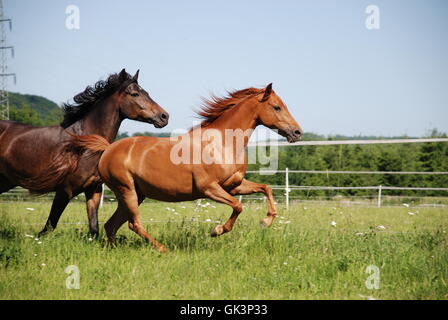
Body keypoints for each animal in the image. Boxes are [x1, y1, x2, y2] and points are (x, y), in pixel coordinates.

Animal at [0, 69, 168, 236]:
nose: (164, 116)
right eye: (135, 94)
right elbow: (49, 226)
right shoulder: (65, 190)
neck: (84, 145)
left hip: (6, 181)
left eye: (146, 92)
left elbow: (94, 229)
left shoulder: (93, 190)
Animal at [72, 83, 302, 252]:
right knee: (133, 223)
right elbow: (238, 206)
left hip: (135, 194)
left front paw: (266, 222)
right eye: (277, 107)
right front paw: (217, 230)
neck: (222, 143)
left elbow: (266, 188)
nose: (297, 132)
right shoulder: (209, 188)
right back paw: (162, 249)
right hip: (126, 190)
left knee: (112, 225)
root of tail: (108, 149)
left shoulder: (234, 185)